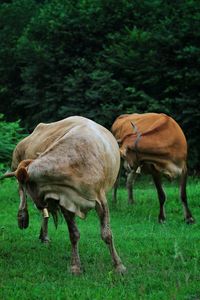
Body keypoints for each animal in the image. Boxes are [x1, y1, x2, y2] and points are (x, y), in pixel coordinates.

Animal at [2, 116, 125, 274]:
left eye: (30, 186)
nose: (38, 204)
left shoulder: (100, 199)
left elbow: (107, 234)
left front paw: (118, 265)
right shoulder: (65, 200)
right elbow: (74, 234)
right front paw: (75, 266)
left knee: (44, 212)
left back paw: (41, 233)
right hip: (17, 163)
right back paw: (25, 218)